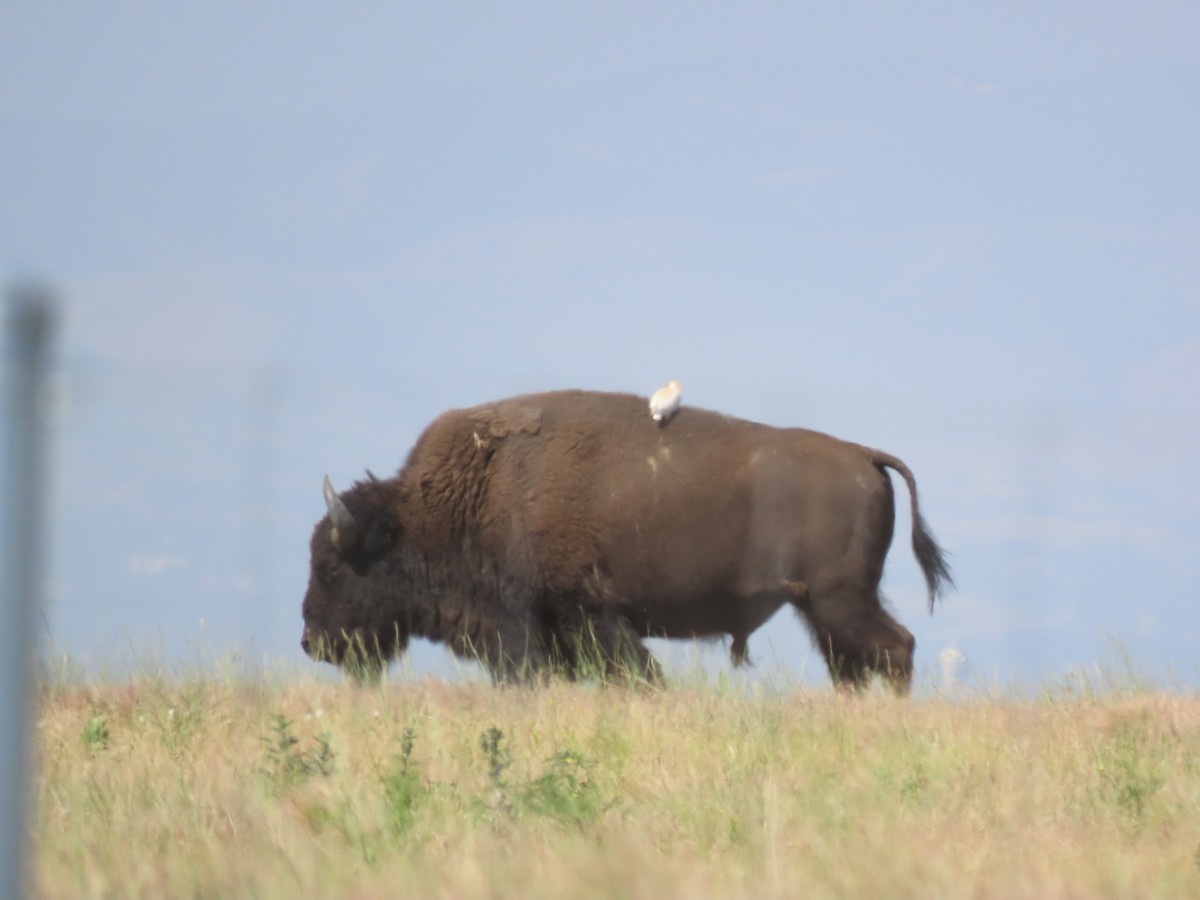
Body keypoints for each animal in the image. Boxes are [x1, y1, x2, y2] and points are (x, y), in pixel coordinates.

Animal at [302, 391, 955, 696]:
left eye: (334, 566)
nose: (311, 641)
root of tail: (865, 455)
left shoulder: (583, 618)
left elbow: (635, 673)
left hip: (841, 600)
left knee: (895, 649)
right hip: (820, 608)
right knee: (854, 665)